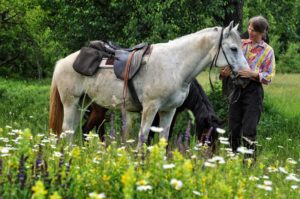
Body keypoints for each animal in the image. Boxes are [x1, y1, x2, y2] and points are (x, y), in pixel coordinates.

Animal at [81, 79, 223, 146]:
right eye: (206, 133)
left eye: (216, 135)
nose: (209, 154)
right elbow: (150, 135)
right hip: (99, 110)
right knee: (86, 128)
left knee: (98, 130)